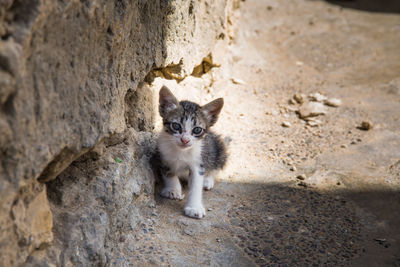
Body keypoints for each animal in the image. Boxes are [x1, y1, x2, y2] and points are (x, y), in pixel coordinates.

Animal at [157, 86, 227, 220]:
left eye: (197, 130)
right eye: (176, 126)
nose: (185, 140)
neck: (181, 151)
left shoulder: (198, 164)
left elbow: (196, 185)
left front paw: (194, 207)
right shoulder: (163, 156)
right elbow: (169, 173)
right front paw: (173, 190)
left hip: (219, 150)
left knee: (216, 167)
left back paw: (207, 180)